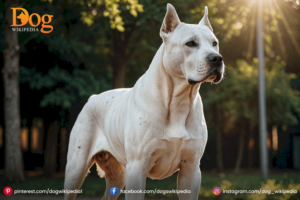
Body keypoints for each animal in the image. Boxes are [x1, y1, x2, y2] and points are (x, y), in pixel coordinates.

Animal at [64, 3, 224, 200]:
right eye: (190, 43)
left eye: (214, 43)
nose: (217, 58)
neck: (178, 100)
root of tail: (92, 98)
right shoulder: (137, 167)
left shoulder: (191, 169)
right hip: (76, 169)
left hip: (117, 175)